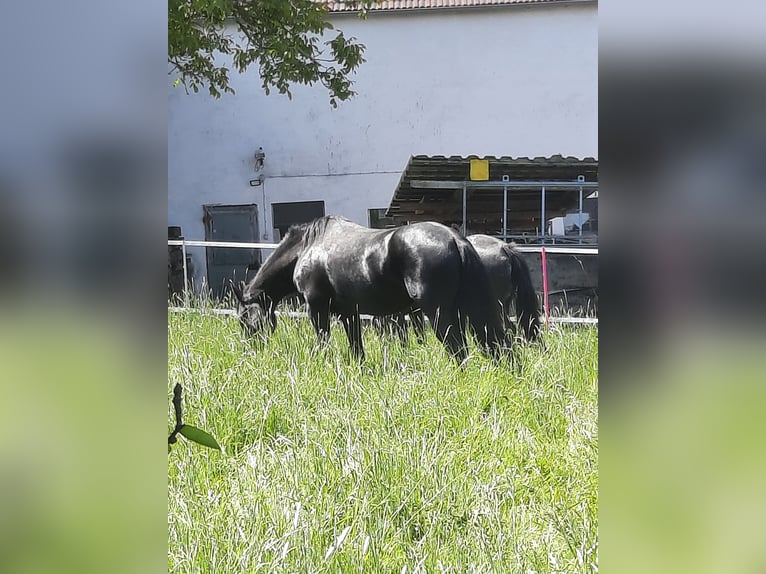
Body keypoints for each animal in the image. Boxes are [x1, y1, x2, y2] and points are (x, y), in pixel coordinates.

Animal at [231, 215, 509, 362]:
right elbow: (357, 349)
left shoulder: (317, 308)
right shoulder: (349, 313)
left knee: (457, 349)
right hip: (466, 309)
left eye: (245, 318)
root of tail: (454, 239)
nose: (249, 350)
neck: (308, 247)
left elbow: (323, 341)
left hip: (438, 312)